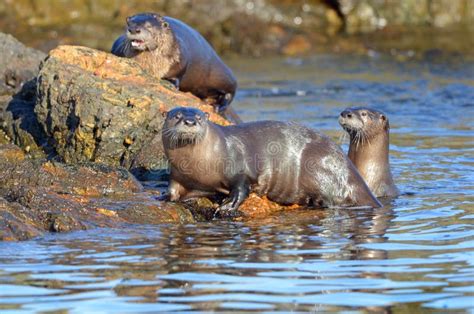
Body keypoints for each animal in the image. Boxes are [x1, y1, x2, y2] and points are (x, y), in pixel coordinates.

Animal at [162, 106, 382, 213]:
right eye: (176, 116)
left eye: (200, 118)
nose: (190, 121)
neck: (197, 165)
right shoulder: (178, 175)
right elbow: (173, 189)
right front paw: (164, 197)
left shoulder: (239, 167)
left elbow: (241, 187)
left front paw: (227, 205)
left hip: (319, 166)